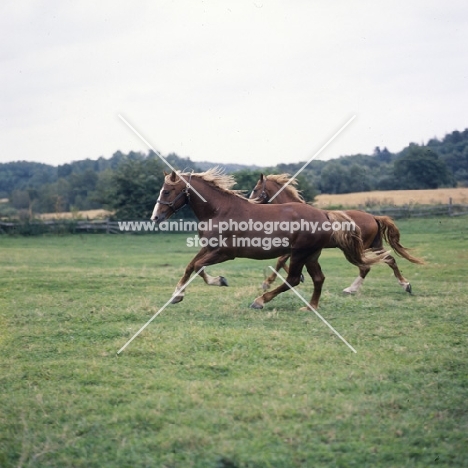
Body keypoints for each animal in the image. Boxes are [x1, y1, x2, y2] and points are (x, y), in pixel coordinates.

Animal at [152, 169, 386, 310]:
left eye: (167, 191)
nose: (155, 217)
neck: (219, 211)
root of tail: (324, 215)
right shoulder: (209, 248)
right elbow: (190, 266)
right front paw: (177, 295)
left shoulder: (224, 253)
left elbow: (198, 266)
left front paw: (219, 281)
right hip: (311, 255)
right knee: (319, 278)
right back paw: (310, 306)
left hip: (300, 253)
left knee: (293, 279)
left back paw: (260, 300)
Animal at [250, 174, 422, 294]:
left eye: (255, 189)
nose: (250, 203)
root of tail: (373, 217)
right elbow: (281, 261)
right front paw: (300, 277)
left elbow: (280, 261)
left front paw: (267, 283)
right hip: (374, 246)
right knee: (389, 260)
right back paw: (405, 285)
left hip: (357, 249)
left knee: (366, 267)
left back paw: (351, 289)